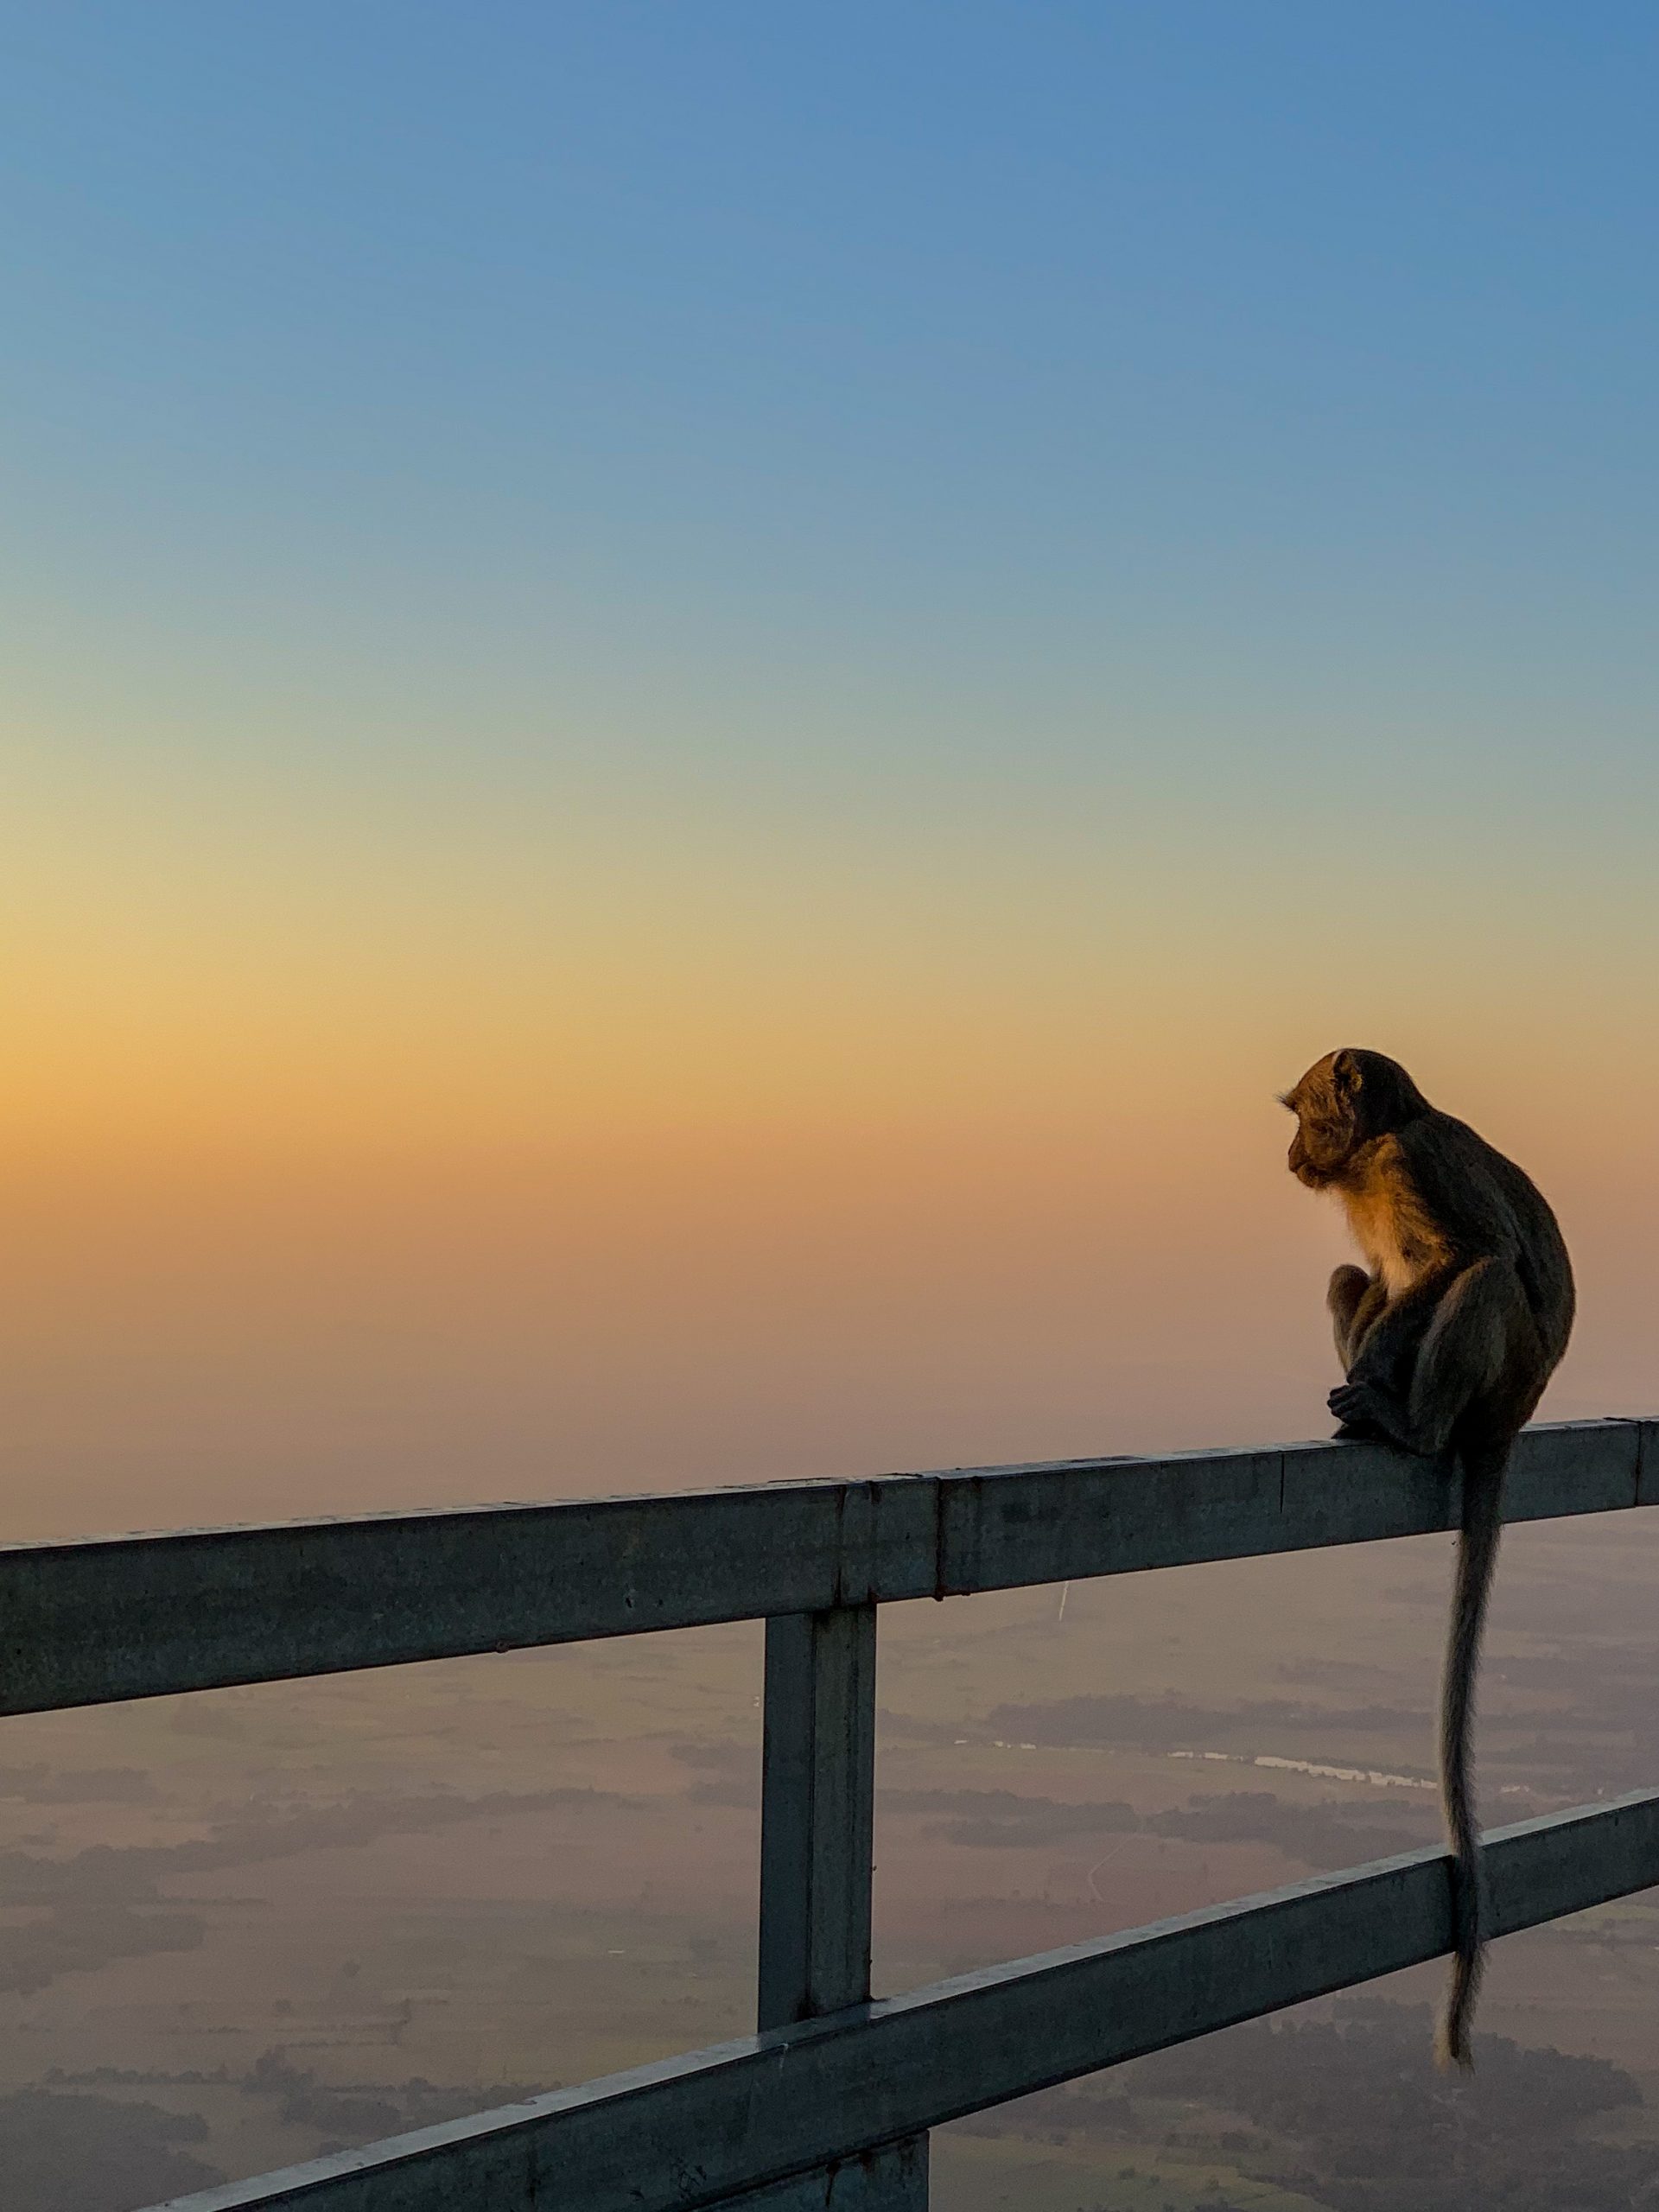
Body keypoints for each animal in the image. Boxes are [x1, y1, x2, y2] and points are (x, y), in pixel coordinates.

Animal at [1281, 1048, 1574, 2070]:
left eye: (1300, 1114)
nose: (1289, 1154)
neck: (1375, 1148)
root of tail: (1516, 1417)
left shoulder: (1412, 1162)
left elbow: (1453, 1260)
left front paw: (1370, 1381)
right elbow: (1373, 1274)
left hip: (1503, 1374)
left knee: (1483, 1278)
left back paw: (1408, 1422)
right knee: (1349, 1275)